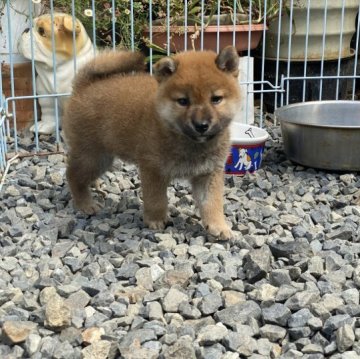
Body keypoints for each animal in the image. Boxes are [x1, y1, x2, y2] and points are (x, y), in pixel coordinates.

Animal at [63, 46, 240, 240]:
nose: (201, 125)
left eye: (216, 99)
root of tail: (84, 87)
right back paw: (85, 204)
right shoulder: (153, 169)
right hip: (93, 157)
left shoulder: (208, 174)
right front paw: (156, 220)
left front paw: (219, 226)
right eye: (183, 101)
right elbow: (156, 200)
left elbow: (212, 203)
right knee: (73, 175)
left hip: (101, 158)